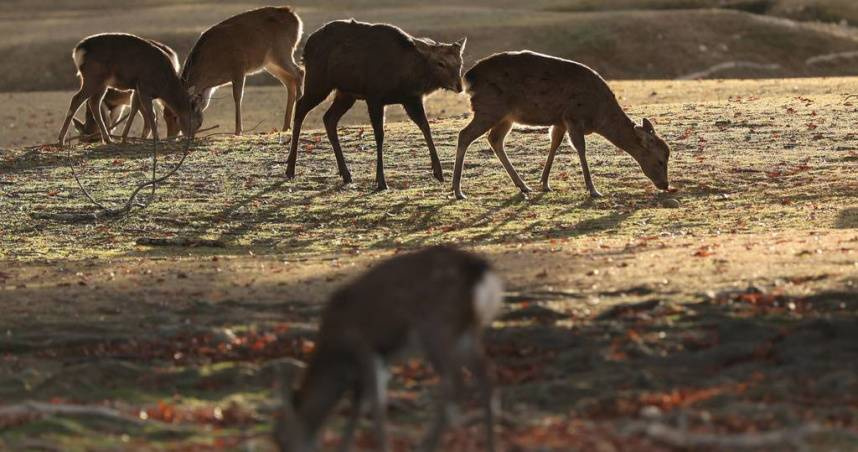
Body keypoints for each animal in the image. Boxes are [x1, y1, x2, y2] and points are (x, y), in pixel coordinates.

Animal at [57, 33, 202, 146]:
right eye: (198, 123)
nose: (192, 138)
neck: (164, 85)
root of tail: (78, 50)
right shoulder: (144, 87)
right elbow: (151, 114)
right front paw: (157, 138)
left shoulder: (137, 88)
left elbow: (134, 109)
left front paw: (124, 138)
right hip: (93, 77)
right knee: (77, 99)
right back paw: (61, 140)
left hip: (102, 83)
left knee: (94, 103)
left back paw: (108, 139)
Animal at [176, 6, 304, 136]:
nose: (185, 135)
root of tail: (296, 20)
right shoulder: (210, 87)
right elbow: (206, 103)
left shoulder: (238, 67)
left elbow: (237, 97)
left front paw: (238, 131)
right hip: (270, 63)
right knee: (290, 82)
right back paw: (286, 126)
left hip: (282, 51)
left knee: (299, 71)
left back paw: (298, 103)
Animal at [273, 245, 503, 452]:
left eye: (282, 439)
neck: (337, 353)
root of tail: (480, 270)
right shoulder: (380, 359)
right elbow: (360, 406)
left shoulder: (364, 348)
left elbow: (373, 405)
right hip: (467, 333)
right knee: (485, 376)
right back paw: (490, 444)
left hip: (435, 329)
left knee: (454, 383)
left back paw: (429, 445)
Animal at [285, 19, 466, 191]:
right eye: (440, 63)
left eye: (460, 63)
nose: (459, 86)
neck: (406, 76)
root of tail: (306, 49)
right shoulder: (374, 96)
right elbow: (380, 135)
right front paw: (381, 181)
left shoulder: (411, 99)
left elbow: (426, 127)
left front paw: (439, 173)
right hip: (318, 81)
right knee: (300, 108)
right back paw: (290, 168)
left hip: (345, 94)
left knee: (329, 118)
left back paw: (346, 174)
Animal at [451, 51, 671, 200]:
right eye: (661, 160)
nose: (665, 184)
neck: (598, 116)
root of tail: (468, 77)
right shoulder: (573, 116)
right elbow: (581, 149)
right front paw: (593, 190)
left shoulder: (560, 120)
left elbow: (555, 144)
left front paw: (544, 183)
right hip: (489, 108)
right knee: (464, 135)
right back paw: (458, 190)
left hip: (506, 116)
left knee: (494, 139)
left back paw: (523, 186)